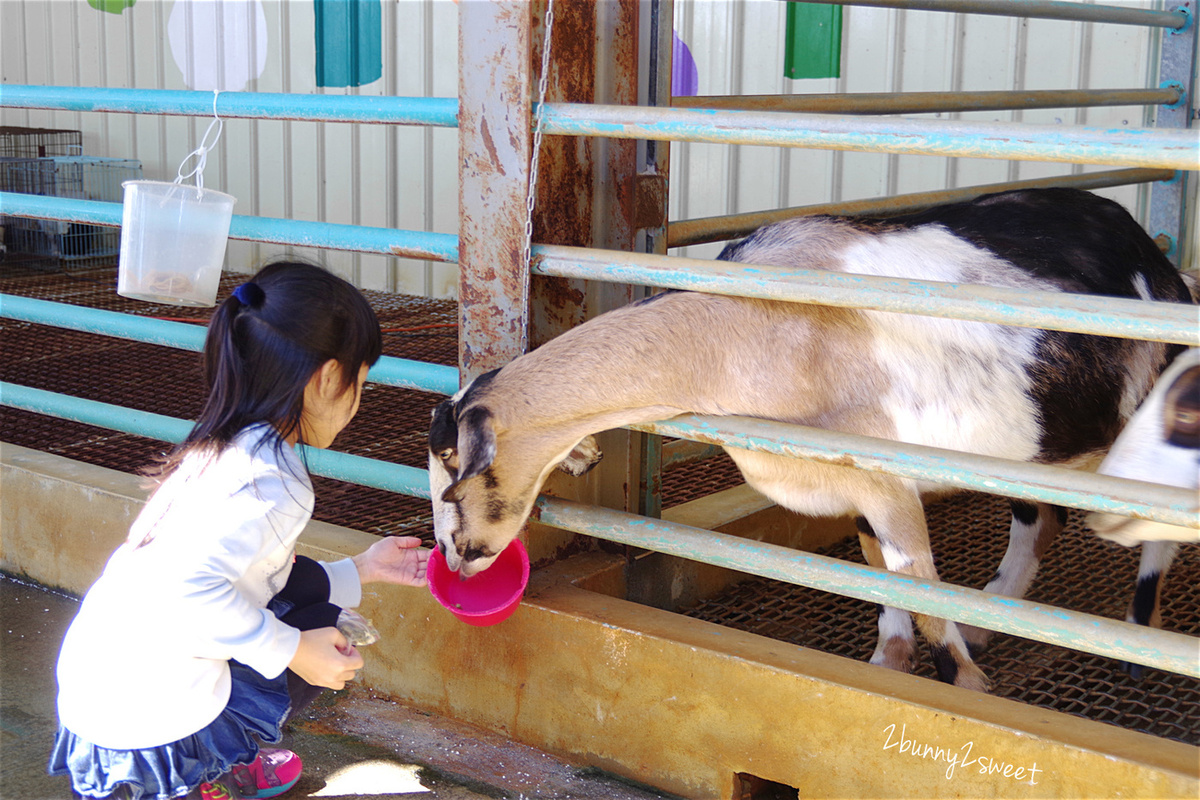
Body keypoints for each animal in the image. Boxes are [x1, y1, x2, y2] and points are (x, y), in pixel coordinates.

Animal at [429, 190, 1190, 690]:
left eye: (453, 476)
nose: (458, 560)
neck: (740, 330)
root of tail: (1157, 260)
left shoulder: (887, 476)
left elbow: (916, 581)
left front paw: (967, 687)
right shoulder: (860, 489)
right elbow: (877, 573)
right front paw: (889, 661)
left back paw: (1139, 636)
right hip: (1034, 448)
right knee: (1039, 521)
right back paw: (991, 613)